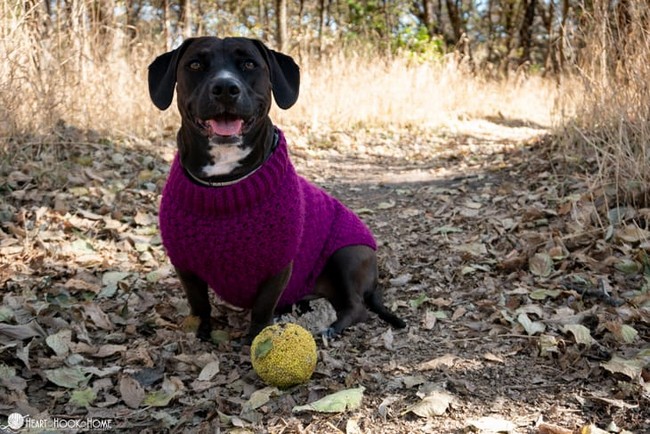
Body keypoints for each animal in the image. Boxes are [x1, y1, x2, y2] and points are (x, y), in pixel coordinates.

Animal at [147, 36, 402, 342]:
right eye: (195, 64)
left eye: (249, 64)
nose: (225, 88)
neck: (224, 186)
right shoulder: (185, 263)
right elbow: (199, 303)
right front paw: (200, 331)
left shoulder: (277, 265)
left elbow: (262, 307)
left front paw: (257, 338)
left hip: (348, 254)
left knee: (356, 307)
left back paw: (331, 327)